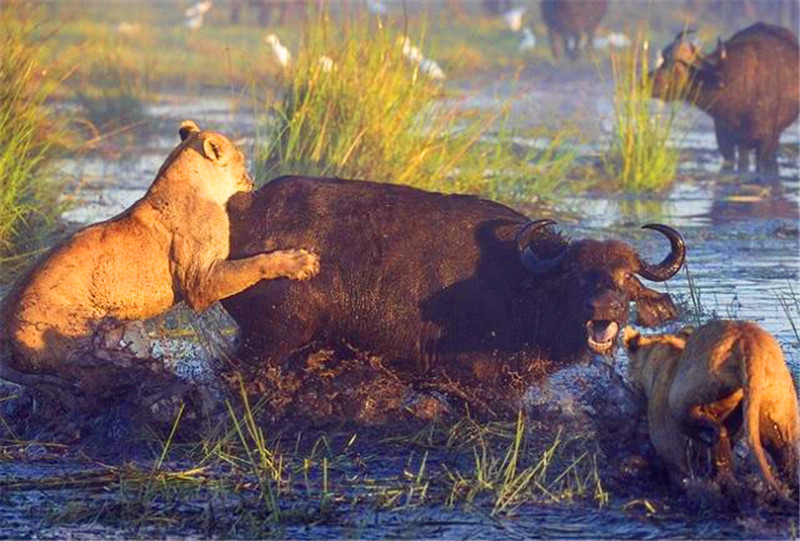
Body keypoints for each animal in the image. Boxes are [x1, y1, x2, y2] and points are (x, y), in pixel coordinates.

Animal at [0, 120, 318, 412]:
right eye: (241, 158)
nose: (252, 180)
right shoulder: (200, 282)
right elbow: (253, 264)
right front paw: (300, 261)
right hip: (74, 344)